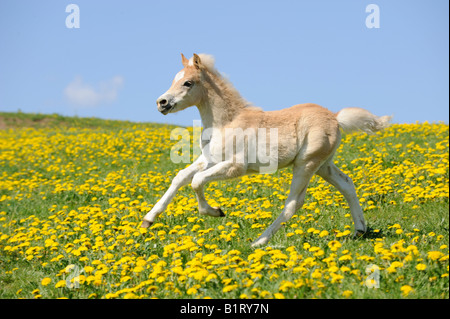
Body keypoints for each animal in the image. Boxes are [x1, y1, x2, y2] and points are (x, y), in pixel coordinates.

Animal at [141, 53, 390, 248]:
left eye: (188, 83)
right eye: (174, 79)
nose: (162, 103)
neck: (226, 121)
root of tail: (336, 117)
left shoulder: (235, 167)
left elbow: (197, 181)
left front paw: (216, 211)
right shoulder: (209, 159)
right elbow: (181, 177)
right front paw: (148, 220)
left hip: (306, 164)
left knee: (293, 204)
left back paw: (258, 242)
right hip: (323, 165)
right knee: (347, 184)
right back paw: (359, 230)